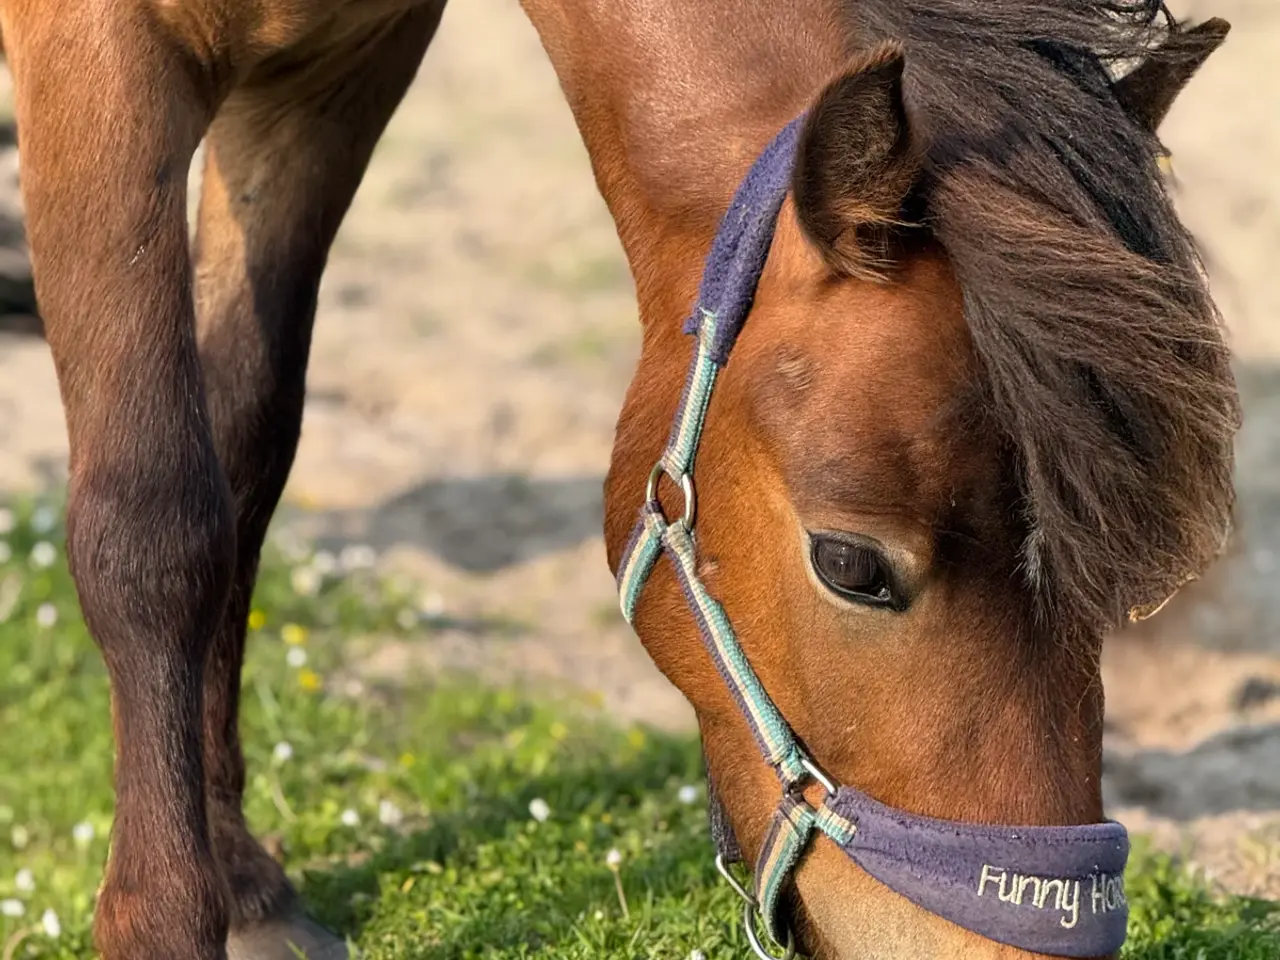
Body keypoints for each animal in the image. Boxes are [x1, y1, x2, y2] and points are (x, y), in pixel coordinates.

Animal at [0, 0, 1238, 958]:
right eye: (850, 566)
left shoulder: (331, 78)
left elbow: (245, 450)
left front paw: (245, 882)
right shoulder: (100, 55)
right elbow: (156, 520)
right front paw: (169, 918)